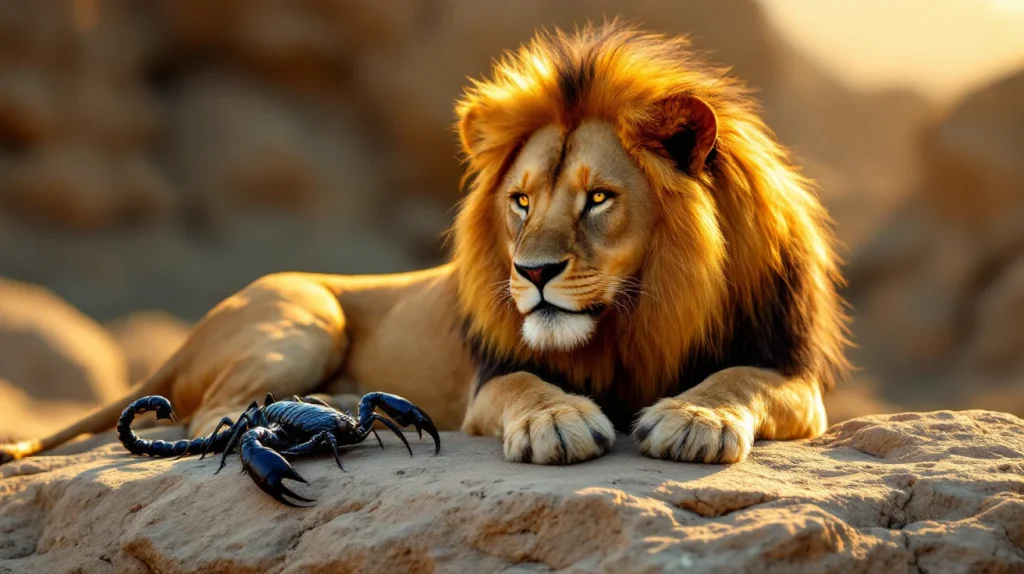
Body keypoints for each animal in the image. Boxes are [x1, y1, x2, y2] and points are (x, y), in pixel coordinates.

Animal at [1, 21, 848, 468]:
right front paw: (558, 421)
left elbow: (737, 378)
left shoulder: (793, 375)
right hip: (302, 307)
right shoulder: (490, 383)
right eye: (520, 202)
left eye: (598, 199)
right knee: (211, 408)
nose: (532, 273)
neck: (641, 312)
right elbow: (527, 387)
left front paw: (694, 417)